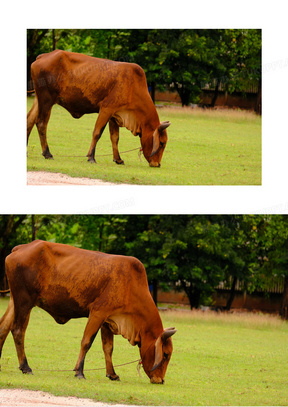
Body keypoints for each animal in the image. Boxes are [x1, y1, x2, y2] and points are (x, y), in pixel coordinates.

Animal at [0, 241, 176, 384]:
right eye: (165, 355)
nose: (160, 380)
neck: (131, 285)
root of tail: (20, 248)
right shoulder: (97, 313)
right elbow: (86, 342)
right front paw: (79, 372)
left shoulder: (108, 320)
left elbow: (108, 348)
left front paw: (112, 374)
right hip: (25, 301)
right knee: (17, 330)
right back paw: (25, 367)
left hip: (15, 301)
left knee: (3, 327)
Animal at [26, 50, 171, 167]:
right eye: (161, 143)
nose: (157, 164)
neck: (133, 86)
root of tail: (43, 56)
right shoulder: (106, 109)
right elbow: (97, 133)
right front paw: (91, 157)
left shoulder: (114, 115)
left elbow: (115, 137)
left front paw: (118, 159)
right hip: (47, 100)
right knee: (41, 123)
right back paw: (47, 153)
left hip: (39, 99)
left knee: (29, 121)